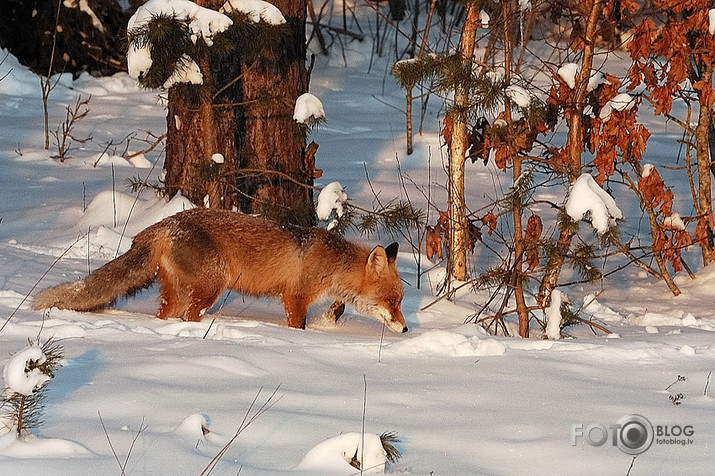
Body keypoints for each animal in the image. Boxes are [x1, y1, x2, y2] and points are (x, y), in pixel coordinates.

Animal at [33, 206, 408, 332]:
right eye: (392, 301)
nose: (405, 329)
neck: (332, 263)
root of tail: (161, 226)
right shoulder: (294, 298)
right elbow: (297, 326)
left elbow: (335, 307)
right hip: (211, 287)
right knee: (189, 317)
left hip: (176, 293)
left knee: (166, 317)